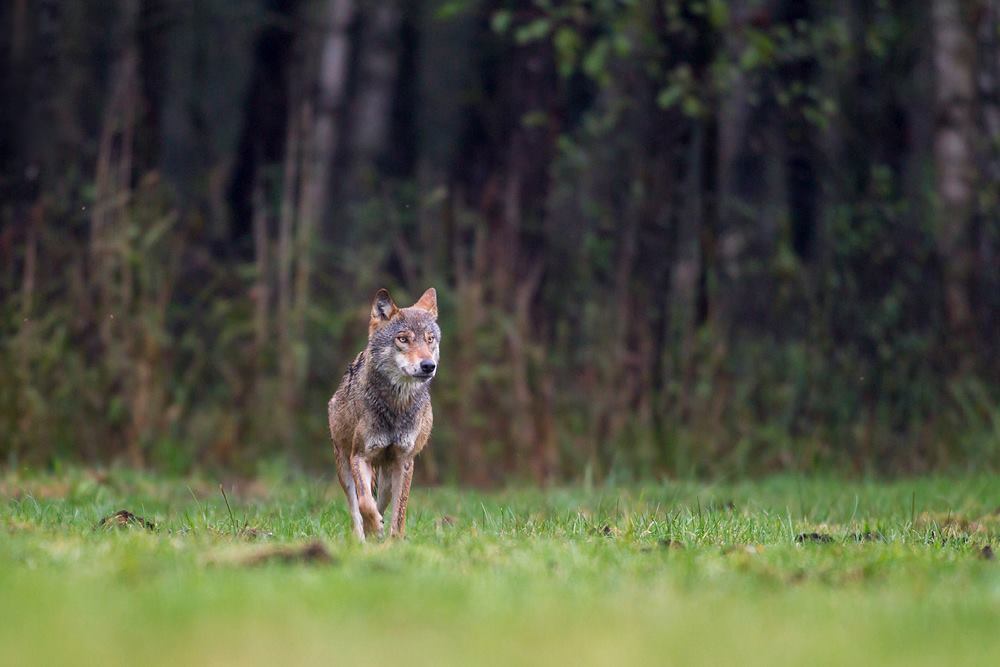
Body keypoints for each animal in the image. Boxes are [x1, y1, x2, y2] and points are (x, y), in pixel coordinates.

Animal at [328, 287, 440, 540]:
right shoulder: (359, 456)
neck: (395, 406)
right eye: (403, 339)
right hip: (344, 468)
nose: (428, 365)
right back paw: (362, 538)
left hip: (388, 478)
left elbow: (399, 513)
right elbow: (363, 503)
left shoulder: (405, 462)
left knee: (381, 502)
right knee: (356, 508)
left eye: (430, 339)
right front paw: (373, 526)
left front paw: (394, 541)